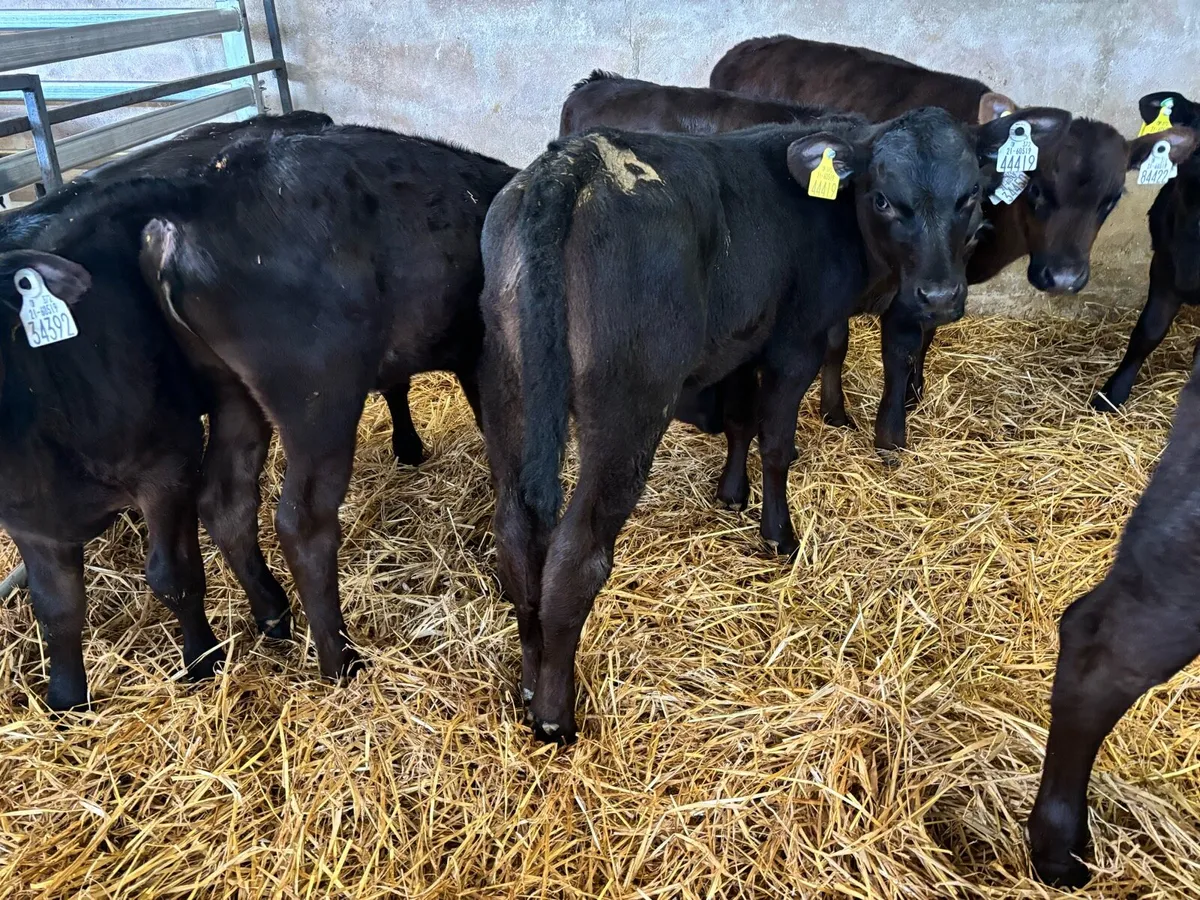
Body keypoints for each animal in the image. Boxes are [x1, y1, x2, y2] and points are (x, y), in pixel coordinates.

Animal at [57, 126, 516, 681]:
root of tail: (206, 188)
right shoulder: (480, 355)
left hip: (232, 390)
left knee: (226, 499)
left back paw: (274, 615)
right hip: (318, 396)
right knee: (303, 522)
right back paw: (340, 659)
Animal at [479, 105, 1071, 741]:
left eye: (969, 197)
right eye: (884, 199)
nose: (938, 296)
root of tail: (574, 162)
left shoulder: (742, 342)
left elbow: (741, 422)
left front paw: (731, 495)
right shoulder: (795, 342)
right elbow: (777, 442)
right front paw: (778, 534)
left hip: (507, 389)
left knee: (516, 537)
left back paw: (528, 683)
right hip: (629, 406)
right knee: (575, 555)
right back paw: (555, 716)